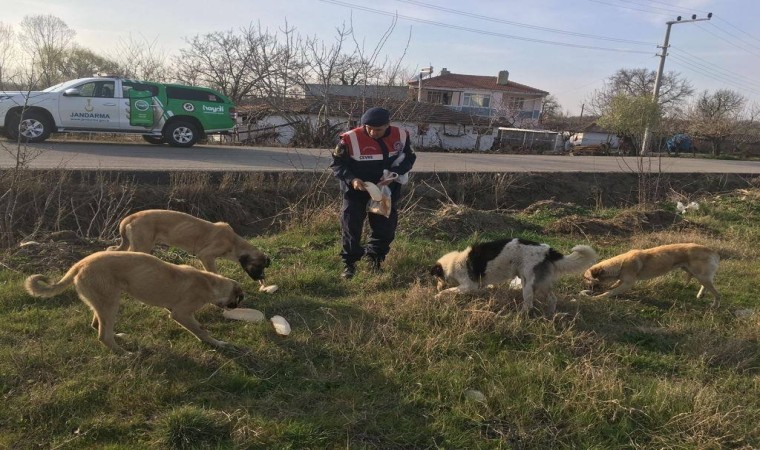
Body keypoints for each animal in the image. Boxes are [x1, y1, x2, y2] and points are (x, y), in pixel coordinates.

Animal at [23, 251, 245, 354]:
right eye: (239, 298)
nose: (236, 307)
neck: (208, 282)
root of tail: (80, 264)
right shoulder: (180, 313)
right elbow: (201, 332)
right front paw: (218, 343)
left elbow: (198, 326)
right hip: (111, 302)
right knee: (103, 336)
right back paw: (125, 354)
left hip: (103, 302)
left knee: (98, 325)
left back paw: (119, 337)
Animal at [107, 210, 270, 282]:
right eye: (258, 266)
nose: (262, 279)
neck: (234, 242)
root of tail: (130, 217)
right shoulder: (206, 256)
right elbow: (213, 271)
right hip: (142, 246)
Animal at [430, 237, 596, 314]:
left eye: (436, 278)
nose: (436, 288)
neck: (453, 263)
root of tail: (547, 250)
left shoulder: (470, 285)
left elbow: (450, 290)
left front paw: (438, 296)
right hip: (539, 283)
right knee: (552, 298)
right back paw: (550, 314)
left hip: (528, 284)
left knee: (528, 304)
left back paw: (521, 316)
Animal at [580, 243, 720, 310]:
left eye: (586, 278)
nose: (582, 286)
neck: (620, 264)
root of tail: (713, 251)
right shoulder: (622, 280)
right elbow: (612, 287)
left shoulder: (627, 284)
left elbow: (610, 292)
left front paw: (597, 298)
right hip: (697, 274)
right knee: (706, 285)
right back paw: (700, 295)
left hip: (701, 275)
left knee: (717, 293)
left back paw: (714, 306)